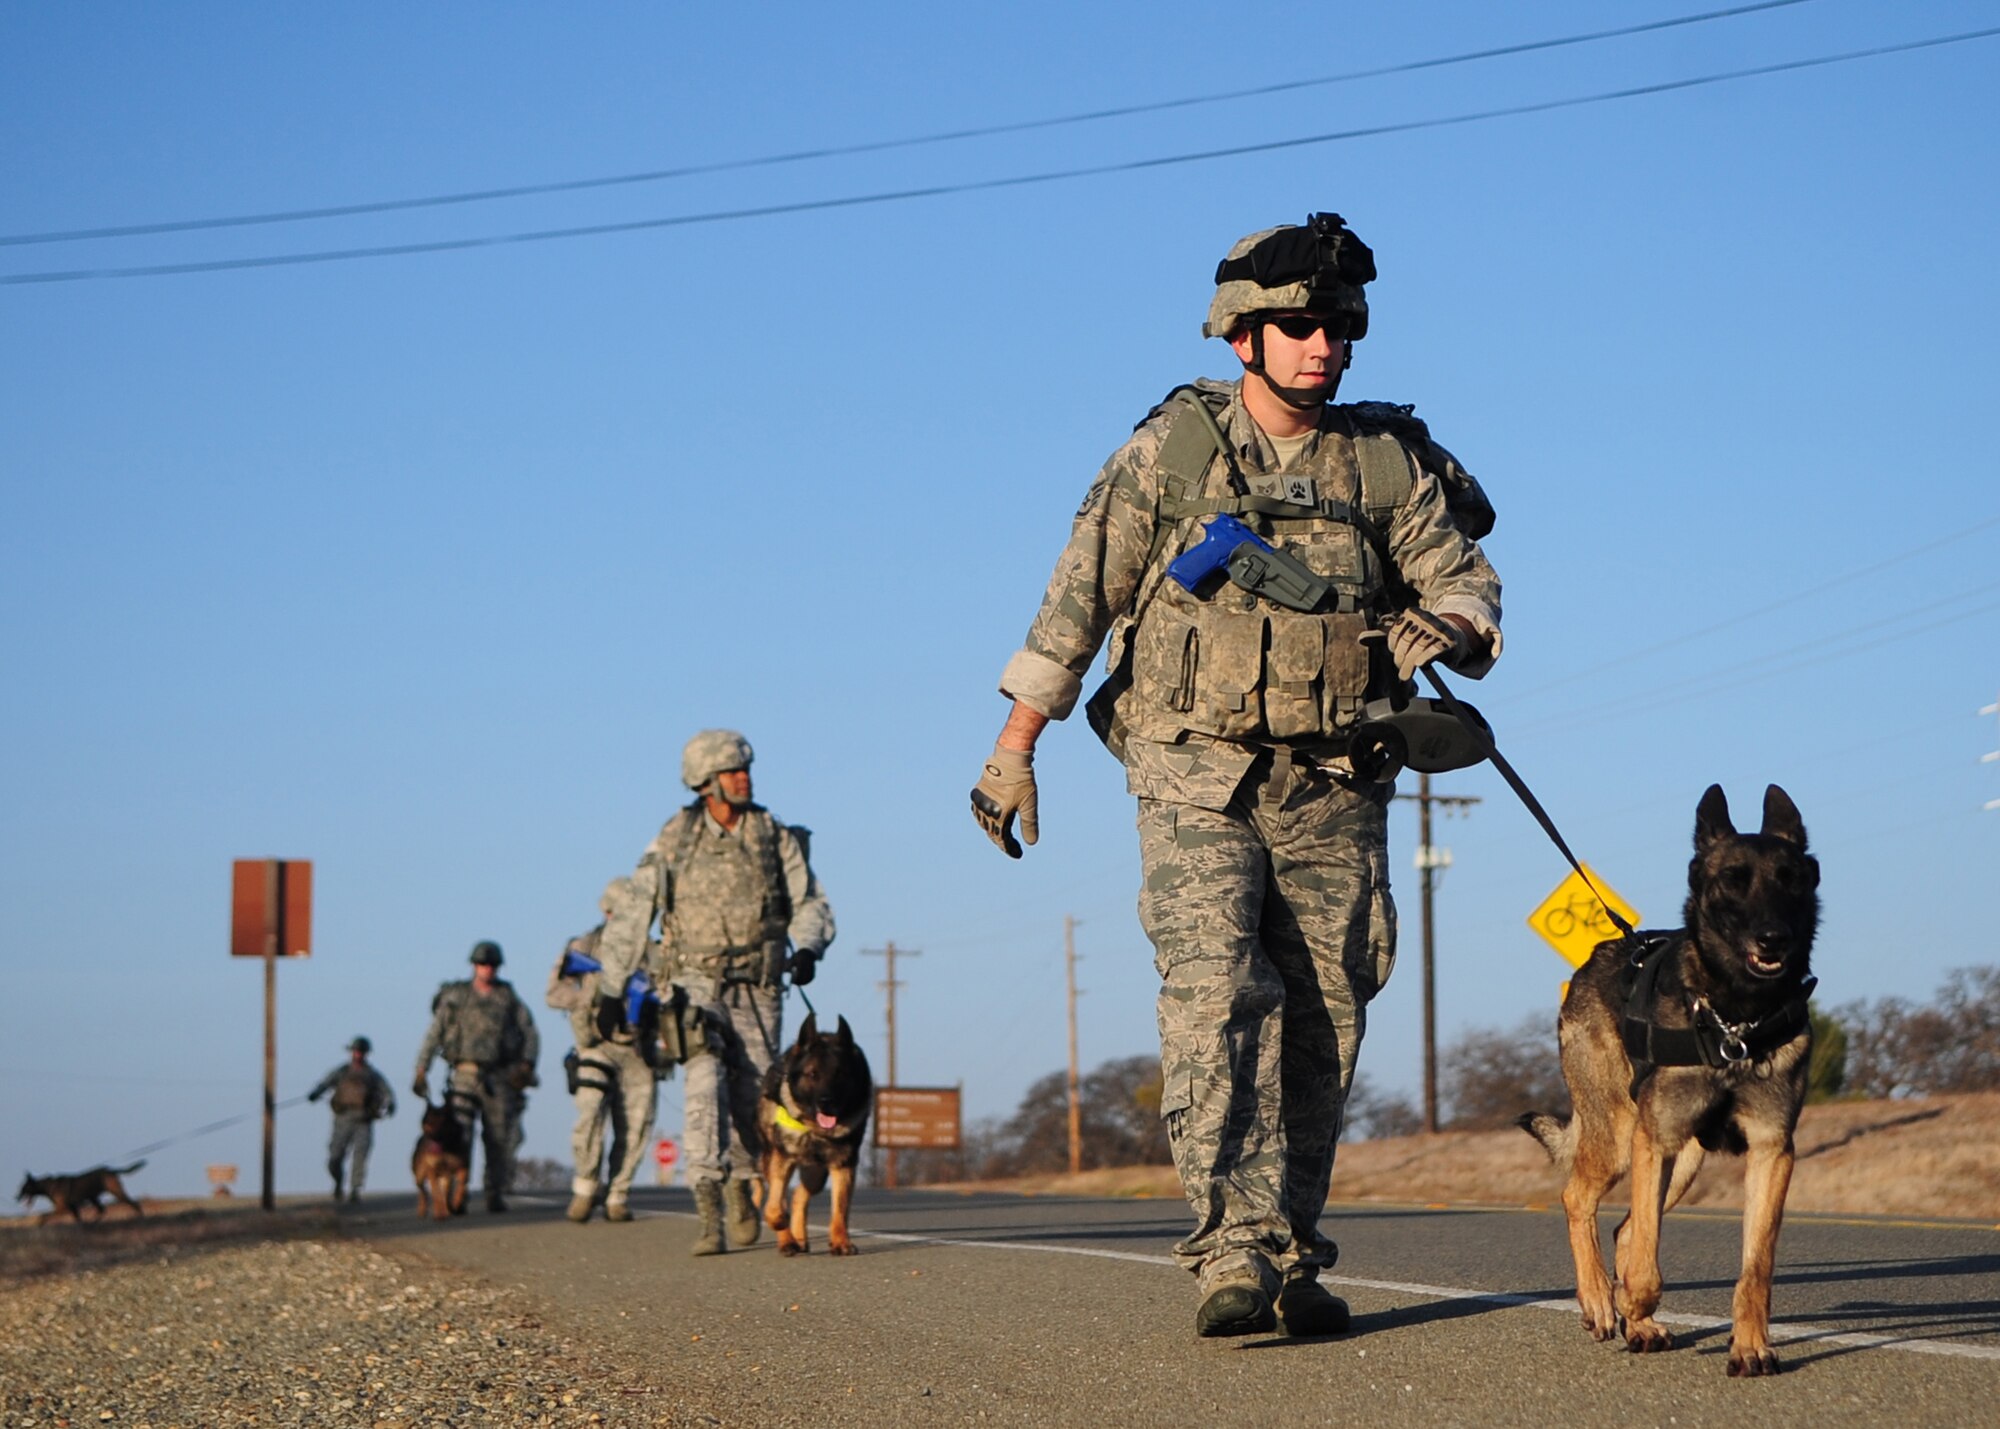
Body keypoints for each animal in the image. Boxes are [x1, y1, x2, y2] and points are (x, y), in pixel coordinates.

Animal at [16, 1160, 145, 1224]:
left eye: (23, 1188)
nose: (15, 1197)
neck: (48, 1186)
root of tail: (111, 1170)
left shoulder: (62, 1208)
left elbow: (45, 1215)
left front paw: (40, 1223)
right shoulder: (73, 1209)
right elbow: (78, 1220)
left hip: (116, 1192)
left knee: (134, 1203)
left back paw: (141, 1217)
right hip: (93, 1197)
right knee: (102, 1210)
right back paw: (93, 1222)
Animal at [752, 1008, 872, 1248]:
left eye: (840, 1074)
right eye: (813, 1074)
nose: (827, 1101)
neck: (814, 1129)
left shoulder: (843, 1164)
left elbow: (839, 1209)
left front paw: (841, 1242)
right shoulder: (782, 1158)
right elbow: (775, 1204)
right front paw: (779, 1221)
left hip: (816, 1174)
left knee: (799, 1195)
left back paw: (798, 1237)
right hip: (775, 1159)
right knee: (782, 1197)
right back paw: (788, 1241)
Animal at [1520, 784, 1824, 1376]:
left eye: (1790, 880)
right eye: (1732, 881)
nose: (1772, 938)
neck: (1736, 1020)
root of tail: (1593, 959)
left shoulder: (1772, 1151)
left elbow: (1756, 1267)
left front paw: (1750, 1346)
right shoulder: (1653, 1141)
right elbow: (1645, 1265)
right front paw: (1631, 1301)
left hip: (1682, 1161)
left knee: (1626, 1228)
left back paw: (1634, 1320)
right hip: (1623, 1139)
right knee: (1580, 1201)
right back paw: (1602, 1300)